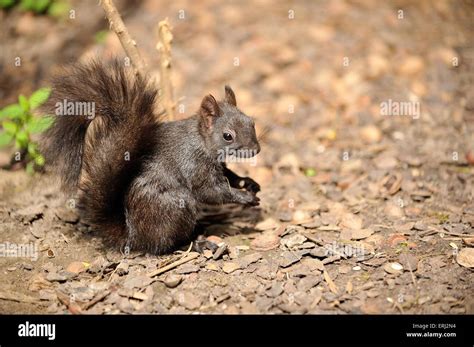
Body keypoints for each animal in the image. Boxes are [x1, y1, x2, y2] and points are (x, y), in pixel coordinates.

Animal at [40, 59, 262, 256]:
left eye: (251, 122)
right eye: (227, 136)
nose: (256, 150)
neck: (201, 140)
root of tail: (133, 236)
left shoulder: (218, 165)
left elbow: (229, 175)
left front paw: (248, 182)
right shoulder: (195, 164)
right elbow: (212, 192)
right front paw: (245, 197)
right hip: (175, 207)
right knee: (164, 245)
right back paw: (196, 243)